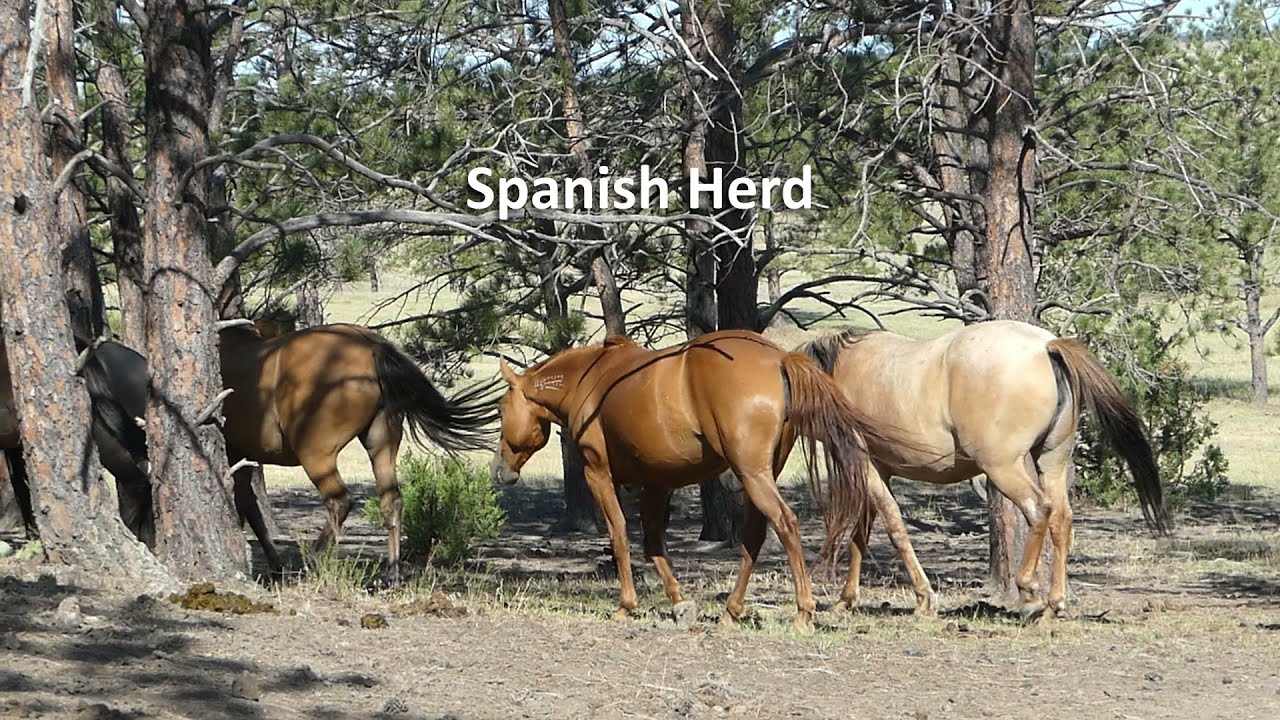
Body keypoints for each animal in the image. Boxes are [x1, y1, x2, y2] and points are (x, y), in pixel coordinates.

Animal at [490, 330, 907, 632]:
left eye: (501, 407)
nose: (500, 470)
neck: (592, 381)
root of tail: (780, 359)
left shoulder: (599, 474)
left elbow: (620, 536)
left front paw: (626, 605)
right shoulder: (656, 484)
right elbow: (654, 543)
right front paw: (679, 602)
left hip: (752, 475)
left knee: (786, 524)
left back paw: (803, 611)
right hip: (759, 476)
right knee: (753, 537)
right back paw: (731, 610)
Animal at [796, 319, 1170, 618]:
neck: (841, 372)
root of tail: (1046, 347)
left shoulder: (867, 466)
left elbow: (894, 528)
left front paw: (923, 598)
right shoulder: (879, 469)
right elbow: (862, 532)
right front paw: (846, 599)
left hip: (1003, 468)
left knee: (1039, 510)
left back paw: (1028, 591)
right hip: (1051, 462)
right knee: (1061, 519)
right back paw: (1054, 603)